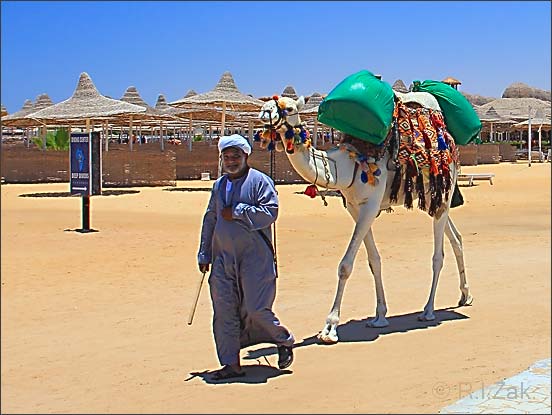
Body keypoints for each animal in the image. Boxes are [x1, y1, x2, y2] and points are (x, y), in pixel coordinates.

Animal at [258, 94, 470, 344]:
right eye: (267, 103)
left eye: (289, 108)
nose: (264, 113)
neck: (348, 164)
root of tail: (451, 143)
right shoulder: (354, 207)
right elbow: (374, 261)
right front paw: (380, 316)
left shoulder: (371, 204)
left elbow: (345, 266)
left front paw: (329, 327)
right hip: (431, 199)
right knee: (456, 238)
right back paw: (465, 296)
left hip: (445, 191)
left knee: (438, 256)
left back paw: (428, 311)